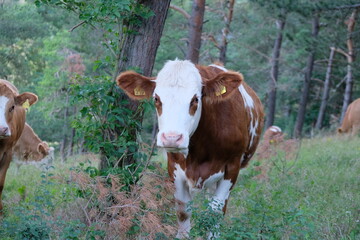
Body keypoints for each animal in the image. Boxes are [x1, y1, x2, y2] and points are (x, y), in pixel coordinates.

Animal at [116, 60, 264, 238]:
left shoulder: (232, 167)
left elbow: (214, 213)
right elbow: (183, 211)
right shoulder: (175, 168)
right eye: (156, 98)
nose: (172, 137)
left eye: (195, 99)